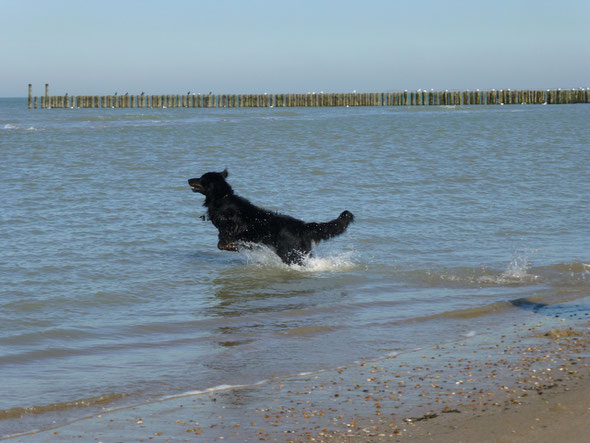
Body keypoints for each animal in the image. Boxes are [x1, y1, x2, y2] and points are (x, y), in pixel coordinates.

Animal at [190, 172, 354, 266]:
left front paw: (236, 247)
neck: (222, 198)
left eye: (201, 179)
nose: (188, 179)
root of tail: (301, 226)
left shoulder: (230, 229)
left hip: (290, 253)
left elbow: (222, 244)